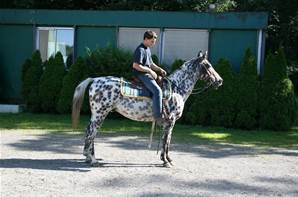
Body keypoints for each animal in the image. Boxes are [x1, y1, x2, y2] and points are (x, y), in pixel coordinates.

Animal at [71, 51, 221, 168]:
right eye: (208, 65)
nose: (220, 81)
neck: (177, 89)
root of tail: (95, 80)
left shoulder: (168, 123)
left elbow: (167, 140)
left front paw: (167, 159)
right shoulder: (170, 121)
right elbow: (166, 141)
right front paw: (166, 161)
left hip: (97, 115)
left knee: (90, 132)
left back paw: (88, 157)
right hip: (100, 114)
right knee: (91, 133)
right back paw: (92, 159)